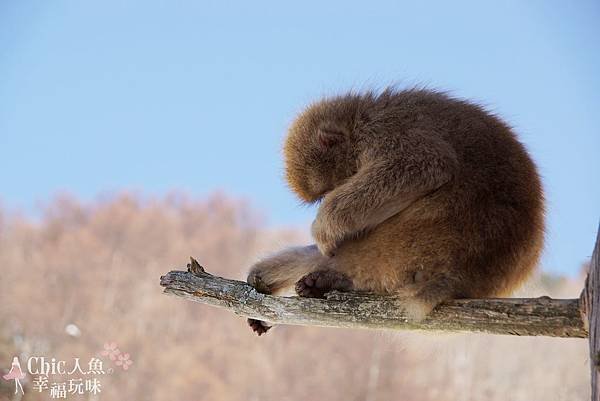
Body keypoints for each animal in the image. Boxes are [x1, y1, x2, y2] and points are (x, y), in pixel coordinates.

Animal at [246, 87, 548, 334]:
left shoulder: (386, 130)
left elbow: (425, 165)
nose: (333, 198)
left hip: (408, 247)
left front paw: (325, 226)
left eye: (335, 187)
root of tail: (461, 274)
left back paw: (332, 279)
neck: (362, 117)